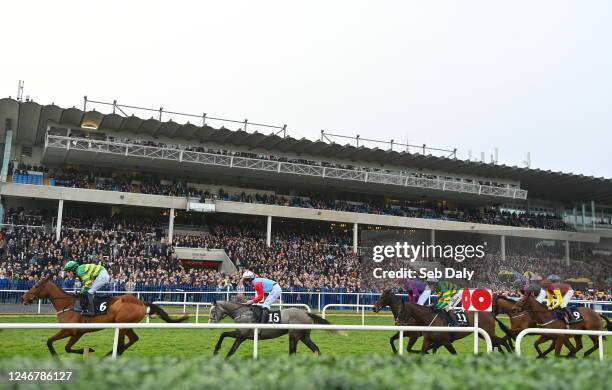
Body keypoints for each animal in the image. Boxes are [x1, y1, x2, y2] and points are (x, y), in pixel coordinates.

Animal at [21, 274, 188, 356]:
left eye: (37, 285)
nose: (23, 298)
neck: (68, 305)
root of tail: (142, 302)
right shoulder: (77, 333)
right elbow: (59, 345)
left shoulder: (71, 331)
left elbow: (55, 343)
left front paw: (88, 350)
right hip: (127, 325)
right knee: (133, 339)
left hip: (122, 324)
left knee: (121, 344)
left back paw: (107, 356)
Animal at [209, 300, 344, 358]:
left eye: (213, 311)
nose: (210, 324)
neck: (242, 313)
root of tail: (306, 313)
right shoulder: (241, 336)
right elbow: (230, 348)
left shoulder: (242, 335)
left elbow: (225, 336)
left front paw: (217, 351)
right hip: (304, 337)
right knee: (315, 349)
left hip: (294, 336)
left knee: (293, 352)